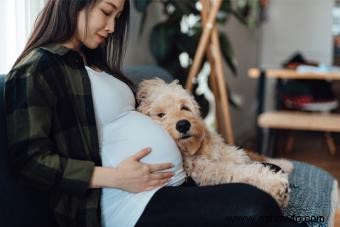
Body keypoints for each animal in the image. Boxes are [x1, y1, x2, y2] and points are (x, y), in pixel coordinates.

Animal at [137, 79, 290, 208]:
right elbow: (239, 172)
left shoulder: (230, 152)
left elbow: (247, 160)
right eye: (161, 115)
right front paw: (274, 184)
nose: (183, 125)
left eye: (185, 107)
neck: (194, 150)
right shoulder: (210, 171)